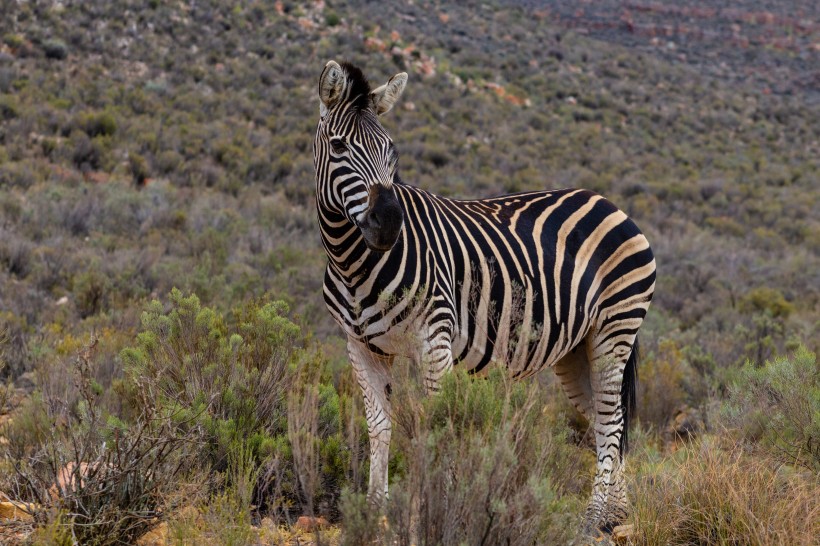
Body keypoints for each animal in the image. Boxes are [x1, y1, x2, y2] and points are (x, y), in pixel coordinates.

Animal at [310, 60, 656, 532]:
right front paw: (375, 513)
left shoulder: (435, 338)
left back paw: (593, 517)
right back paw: (614, 514)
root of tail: (610, 203)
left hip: (614, 329)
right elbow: (379, 427)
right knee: (609, 423)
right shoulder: (361, 346)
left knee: (610, 420)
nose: (389, 224)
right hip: (577, 349)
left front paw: (429, 508)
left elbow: (434, 425)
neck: (352, 262)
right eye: (340, 146)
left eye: (391, 150)